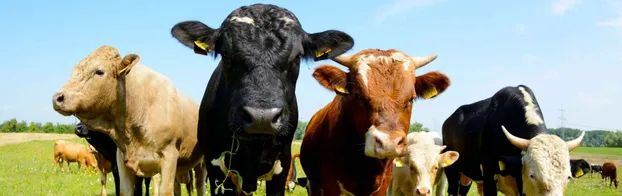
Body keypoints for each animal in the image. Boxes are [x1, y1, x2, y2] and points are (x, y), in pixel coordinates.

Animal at [51, 45, 207, 195]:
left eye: (99, 72)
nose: (57, 98)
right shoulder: (121, 160)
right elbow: (125, 190)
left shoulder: (169, 157)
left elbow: (165, 191)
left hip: (201, 163)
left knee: (200, 185)